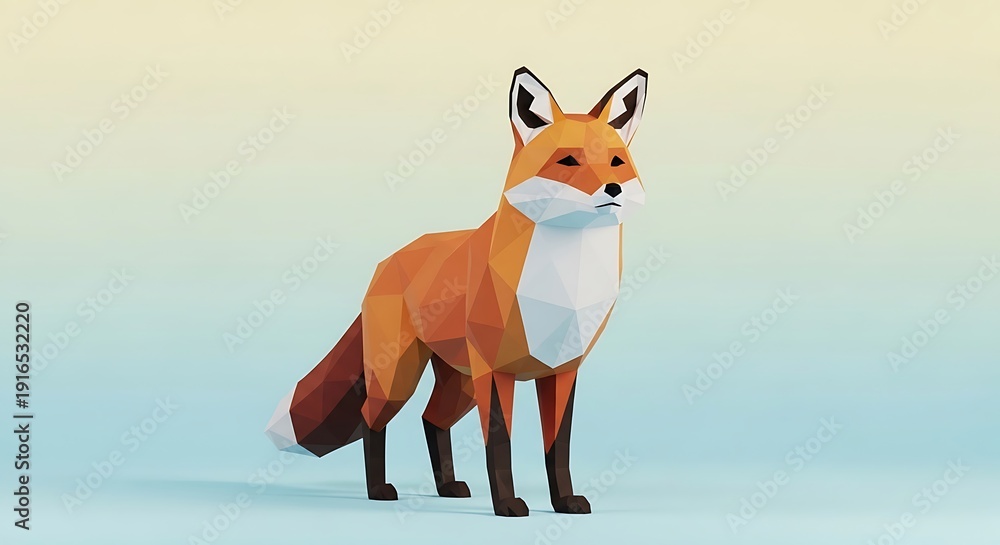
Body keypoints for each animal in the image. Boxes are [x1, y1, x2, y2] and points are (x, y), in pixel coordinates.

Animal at [265, 67, 648, 517]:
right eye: (568, 161)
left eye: (617, 162)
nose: (613, 188)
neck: (562, 284)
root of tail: (387, 261)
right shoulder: (495, 372)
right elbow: (499, 444)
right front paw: (507, 505)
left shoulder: (562, 371)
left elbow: (558, 449)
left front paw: (564, 501)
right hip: (400, 378)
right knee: (371, 419)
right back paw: (378, 490)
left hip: (460, 383)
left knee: (432, 420)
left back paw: (446, 485)